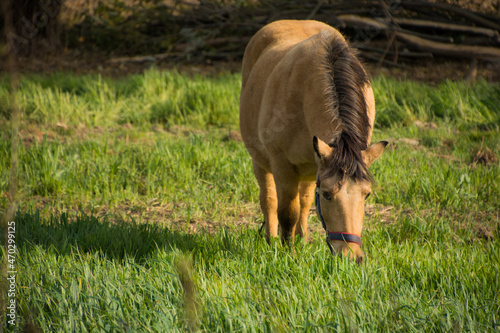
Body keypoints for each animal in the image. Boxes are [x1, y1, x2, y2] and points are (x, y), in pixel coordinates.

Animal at [240, 19, 388, 262]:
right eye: (327, 195)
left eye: (366, 194)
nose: (350, 256)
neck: (304, 93)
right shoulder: (282, 165)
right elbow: (287, 212)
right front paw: (287, 252)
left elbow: (303, 205)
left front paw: (299, 244)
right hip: (260, 160)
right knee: (269, 200)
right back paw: (271, 240)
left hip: (311, 167)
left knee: (305, 200)